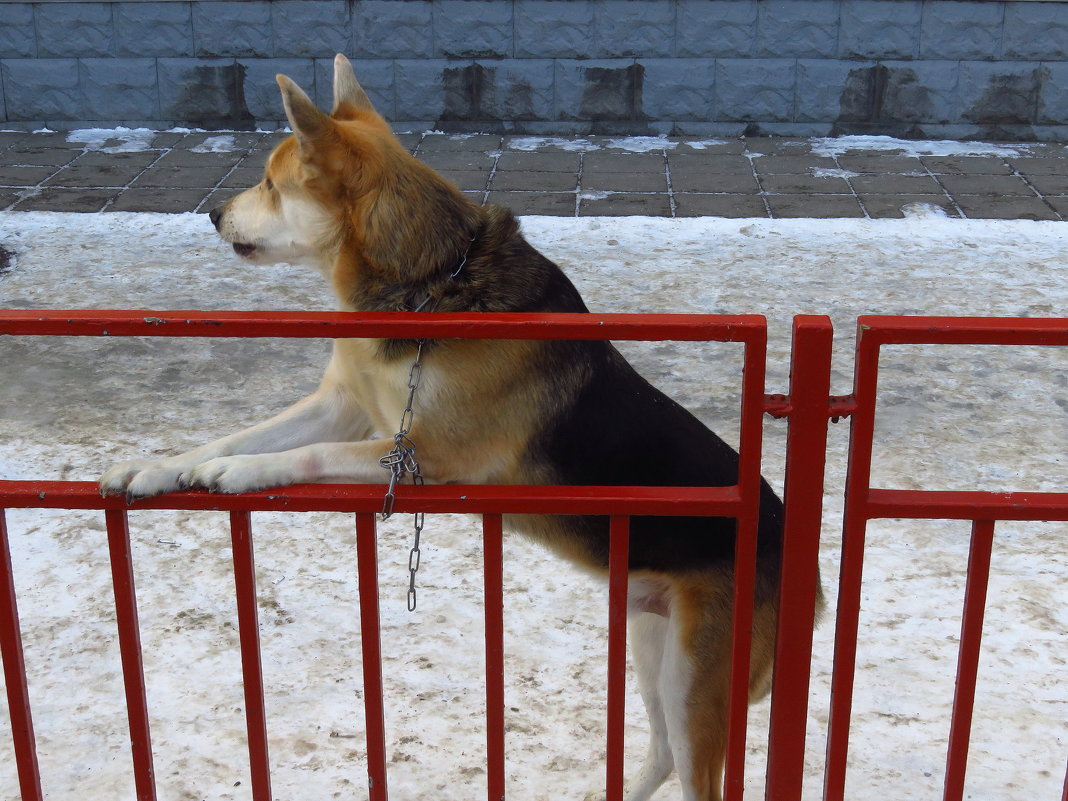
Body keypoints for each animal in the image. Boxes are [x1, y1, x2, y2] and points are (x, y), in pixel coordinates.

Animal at [100, 56, 815, 801]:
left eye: (271, 183)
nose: (212, 213)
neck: (430, 281)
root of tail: (797, 555)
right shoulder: (339, 403)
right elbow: (240, 436)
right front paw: (159, 468)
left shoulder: (426, 456)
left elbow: (310, 454)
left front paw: (239, 474)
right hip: (653, 643)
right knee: (663, 753)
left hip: (695, 681)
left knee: (692, 765)